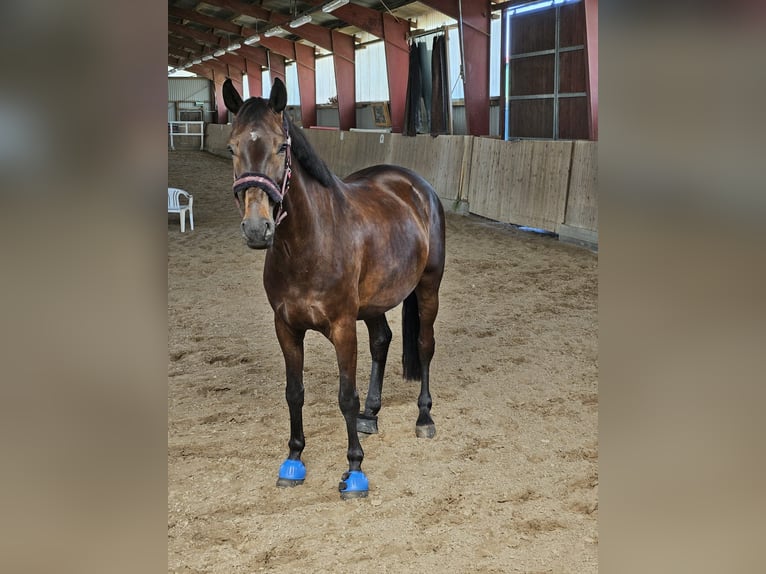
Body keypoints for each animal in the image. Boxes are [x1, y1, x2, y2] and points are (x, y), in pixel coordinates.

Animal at [222, 79, 448, 502]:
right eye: (231, 147)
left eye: (282, 147)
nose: (257, 228)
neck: (308, 244)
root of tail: (415, 185)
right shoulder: (286, 328)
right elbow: (294, 392)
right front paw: (294, 459)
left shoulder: (343, 327)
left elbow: (346, 395)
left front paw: (355, 469)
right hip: (374, 303)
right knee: (382, 341)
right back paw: (370, 416)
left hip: (429, 286)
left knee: (425, 345)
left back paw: (424, 417)